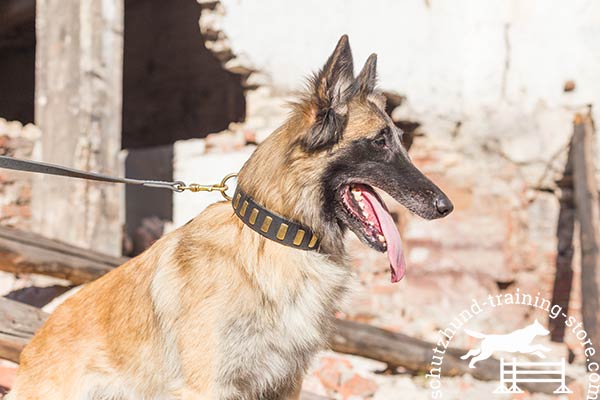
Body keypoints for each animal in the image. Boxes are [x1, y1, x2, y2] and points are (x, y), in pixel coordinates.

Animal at [9, 36, 452, 398]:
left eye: (400, 141)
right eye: (380, 141)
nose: (445, 207)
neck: (275, 236)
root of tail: (33, 346)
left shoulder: (284, 384)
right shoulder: (209, 385)